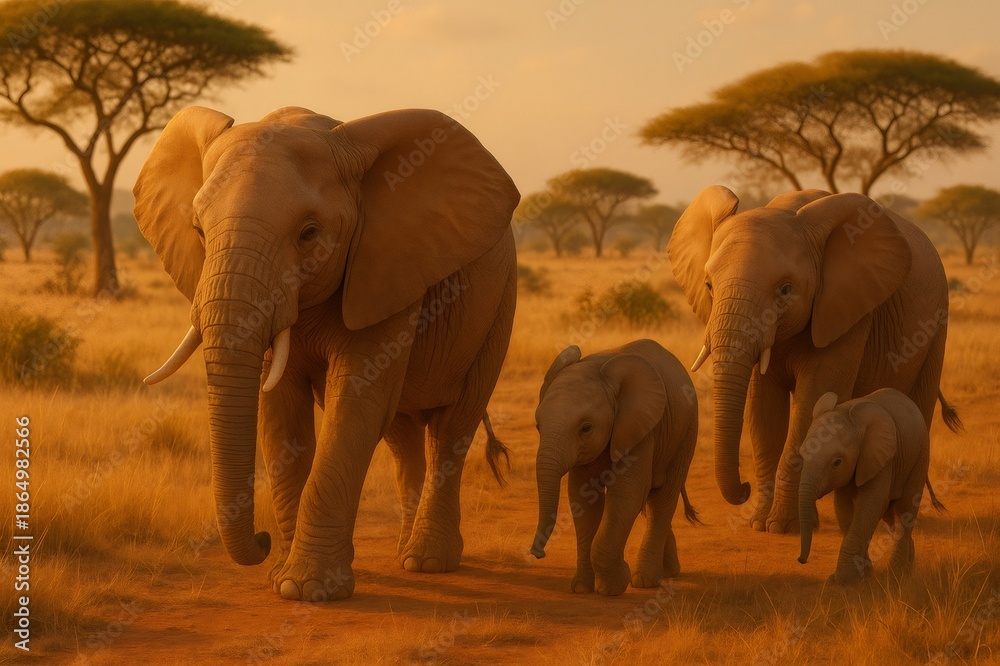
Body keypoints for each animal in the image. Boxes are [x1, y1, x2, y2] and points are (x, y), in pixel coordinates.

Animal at [133, 105, 520, 601]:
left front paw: (307, 588)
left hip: (499, 305)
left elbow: (354, 402)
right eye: (199, 231)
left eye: (309, 233)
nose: (261, 539)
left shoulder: (384, 266)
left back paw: (428, 562)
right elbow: (280, 410)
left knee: (453, 427)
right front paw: (281, 576)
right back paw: (404, 551)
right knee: (402, 435)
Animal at [529, 340, 701, 596]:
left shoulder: (641, 429)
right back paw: (669, 571)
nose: (537, 553)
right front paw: (582, 588)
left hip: (686, 431)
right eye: (538, 426)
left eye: (586, 428)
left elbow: (626, 494)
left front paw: (614, 585)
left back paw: (645, 580)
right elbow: (583, 499)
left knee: (663, 498)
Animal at [668, 185, 961, 533]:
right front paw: (760, 523)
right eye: (709, 286)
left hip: (937, 322)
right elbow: (764, 410)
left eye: (785, 290)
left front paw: (783, 526)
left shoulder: (844, 307)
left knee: (917, 407)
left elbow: (814, 400)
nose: (744, 488)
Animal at [797, 390, 940, 585]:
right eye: (802, 455)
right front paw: (864, 573)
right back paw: (907, 568)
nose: (801, 560)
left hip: (920, 455)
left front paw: (845, 580)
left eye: (837, 462)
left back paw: (896, 574)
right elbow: (844, 511)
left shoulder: (881, 458)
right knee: (892, 517)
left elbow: (869, 506)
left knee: (905, 510)